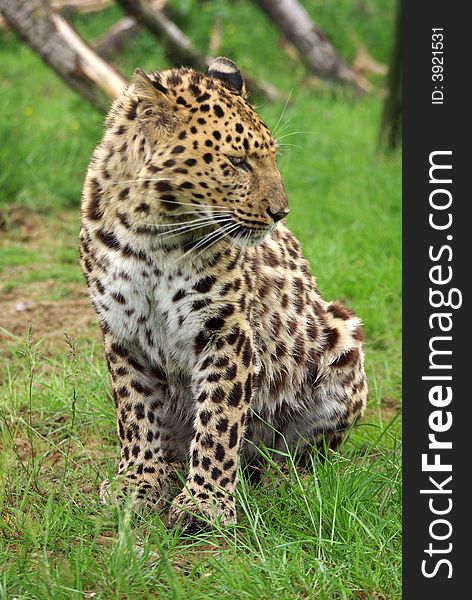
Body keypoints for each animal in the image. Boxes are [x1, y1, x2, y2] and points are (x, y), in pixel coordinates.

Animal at [79, 56, 366, 528]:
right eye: (237, 162)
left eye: (271, 157)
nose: (281, 212)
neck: (152, 234)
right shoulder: (121, 330)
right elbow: (134, 411)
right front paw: (137, 481)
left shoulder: (224, 329)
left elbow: (219, 418)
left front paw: (205, 503)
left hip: (341, 335)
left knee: (303, 454)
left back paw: (283, 479)